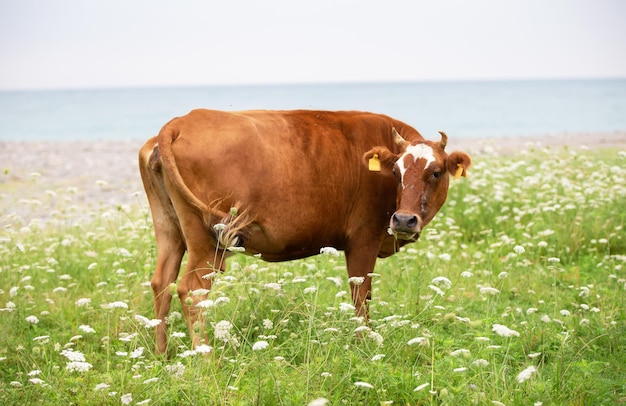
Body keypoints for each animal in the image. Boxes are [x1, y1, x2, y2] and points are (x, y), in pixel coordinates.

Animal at [136, 109, 468, 354]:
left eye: (436, 172)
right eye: (397, 172)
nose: (403, 220)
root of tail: (180, 122)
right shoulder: (364, 238)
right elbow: (361, 297)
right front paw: (363, 348)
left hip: (169, 228)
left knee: (161, 282)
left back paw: (162, 356)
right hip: (205, 241)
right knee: (191, 290)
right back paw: (206, 360)